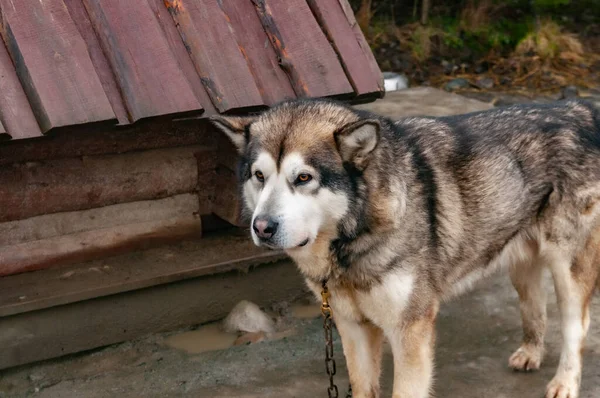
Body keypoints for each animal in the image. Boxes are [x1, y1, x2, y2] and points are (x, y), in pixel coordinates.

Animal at [213, 97, 600, 398]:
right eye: (259, 177)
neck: (355, 237)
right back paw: (531, 353)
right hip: (521, 265)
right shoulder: (352, 327)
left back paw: (565, 383)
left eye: (303, 178)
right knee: (535, 306)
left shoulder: (410, 332)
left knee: (576, 326)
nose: (262, 227)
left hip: (569, 271)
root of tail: (580, 107)